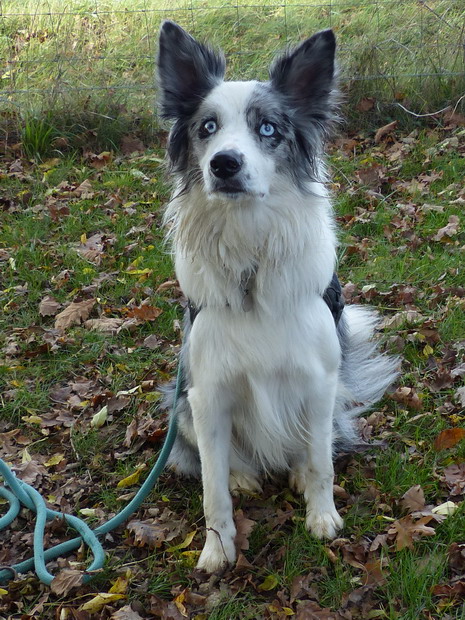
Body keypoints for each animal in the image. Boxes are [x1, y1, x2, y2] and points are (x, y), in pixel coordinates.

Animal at [157, 20, 398, 572]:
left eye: (267, 129)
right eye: (207, 127)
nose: (224, 164)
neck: (251, 262)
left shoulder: (319, 380)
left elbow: (322, 461)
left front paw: (322, 516)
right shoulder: (206, 392)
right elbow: (212, 489)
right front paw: (217, 547)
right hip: (179, 406)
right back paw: (245, 475)